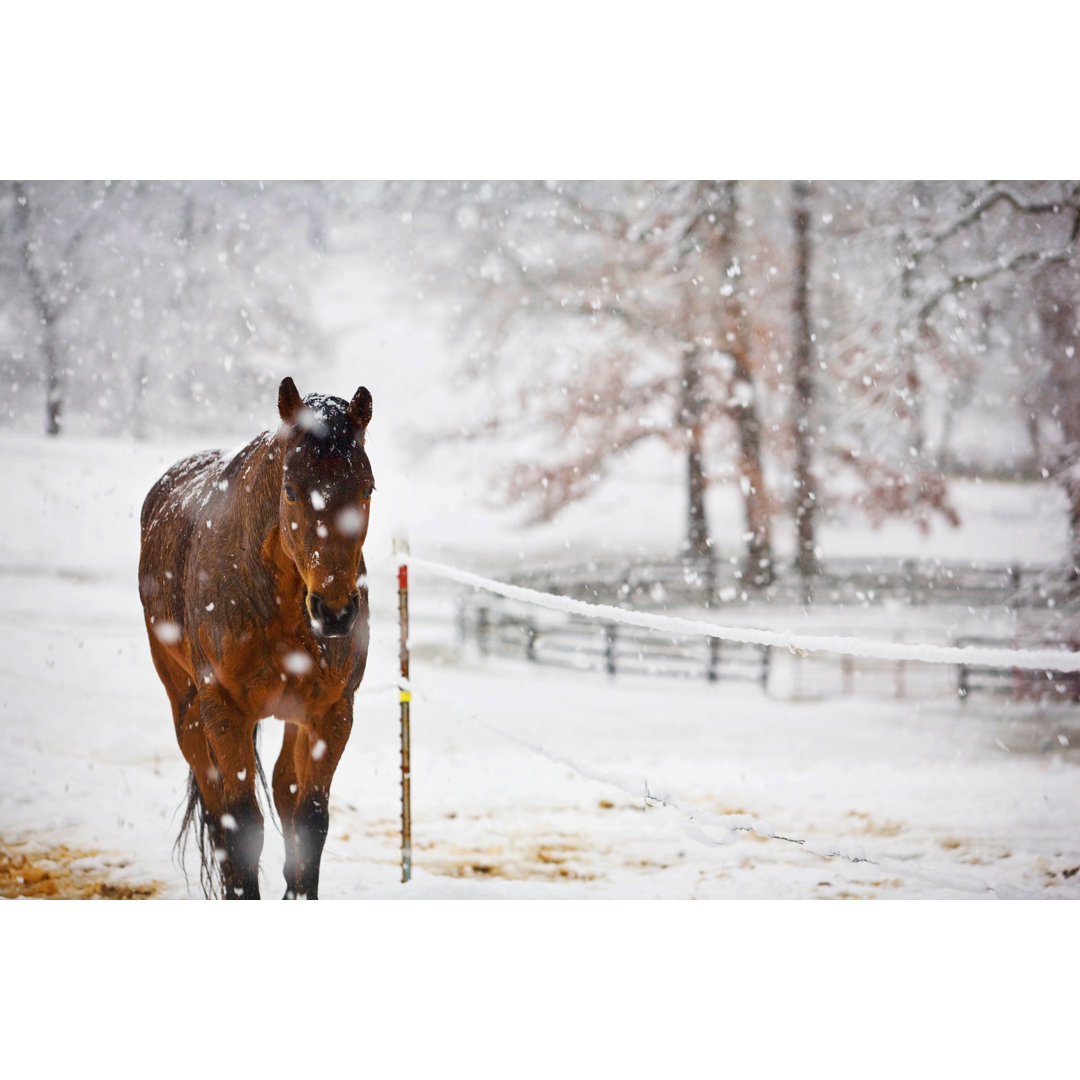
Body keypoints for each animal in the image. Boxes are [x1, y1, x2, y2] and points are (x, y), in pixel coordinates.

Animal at [139, 375, 375, 898]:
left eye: (368, 487)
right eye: (290, 490)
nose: (334, 612)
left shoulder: (333, 712)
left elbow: (310, 820)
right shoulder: (224, 710)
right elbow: (242, 825)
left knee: (285, 789)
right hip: (186, 708)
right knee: (217, 809)